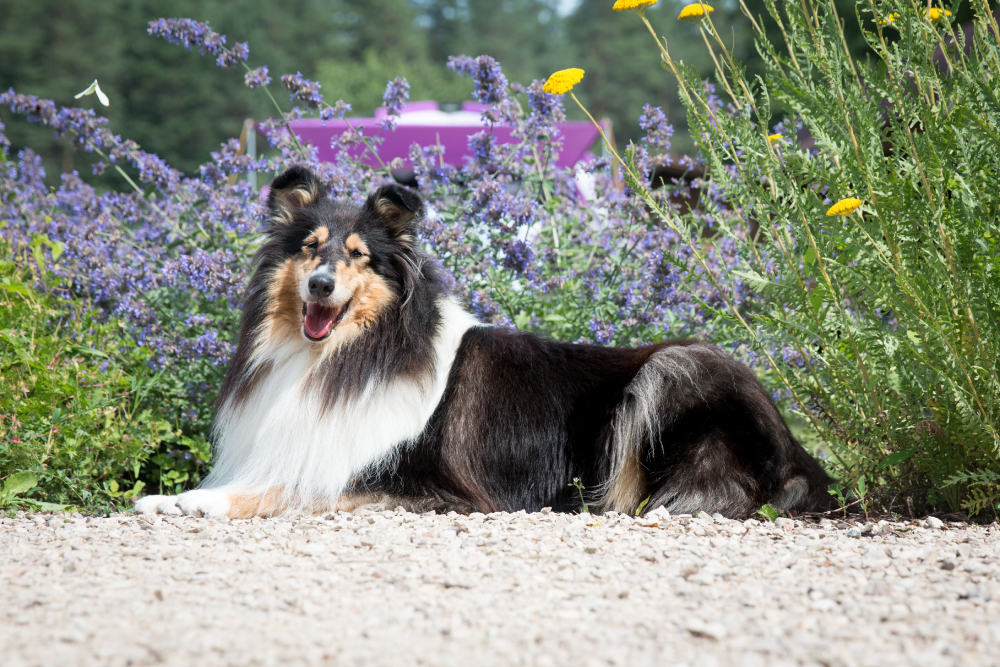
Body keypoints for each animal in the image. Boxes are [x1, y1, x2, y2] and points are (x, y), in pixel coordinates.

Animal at [137, 164, 832, 520]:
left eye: (359, 256)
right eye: (310, 247)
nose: (320, 285)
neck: (345, 356)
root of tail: (798, 451)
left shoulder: (410, 479)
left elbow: (287, 489)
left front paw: (189, 501)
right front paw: (177, 498)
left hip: (672, 368)